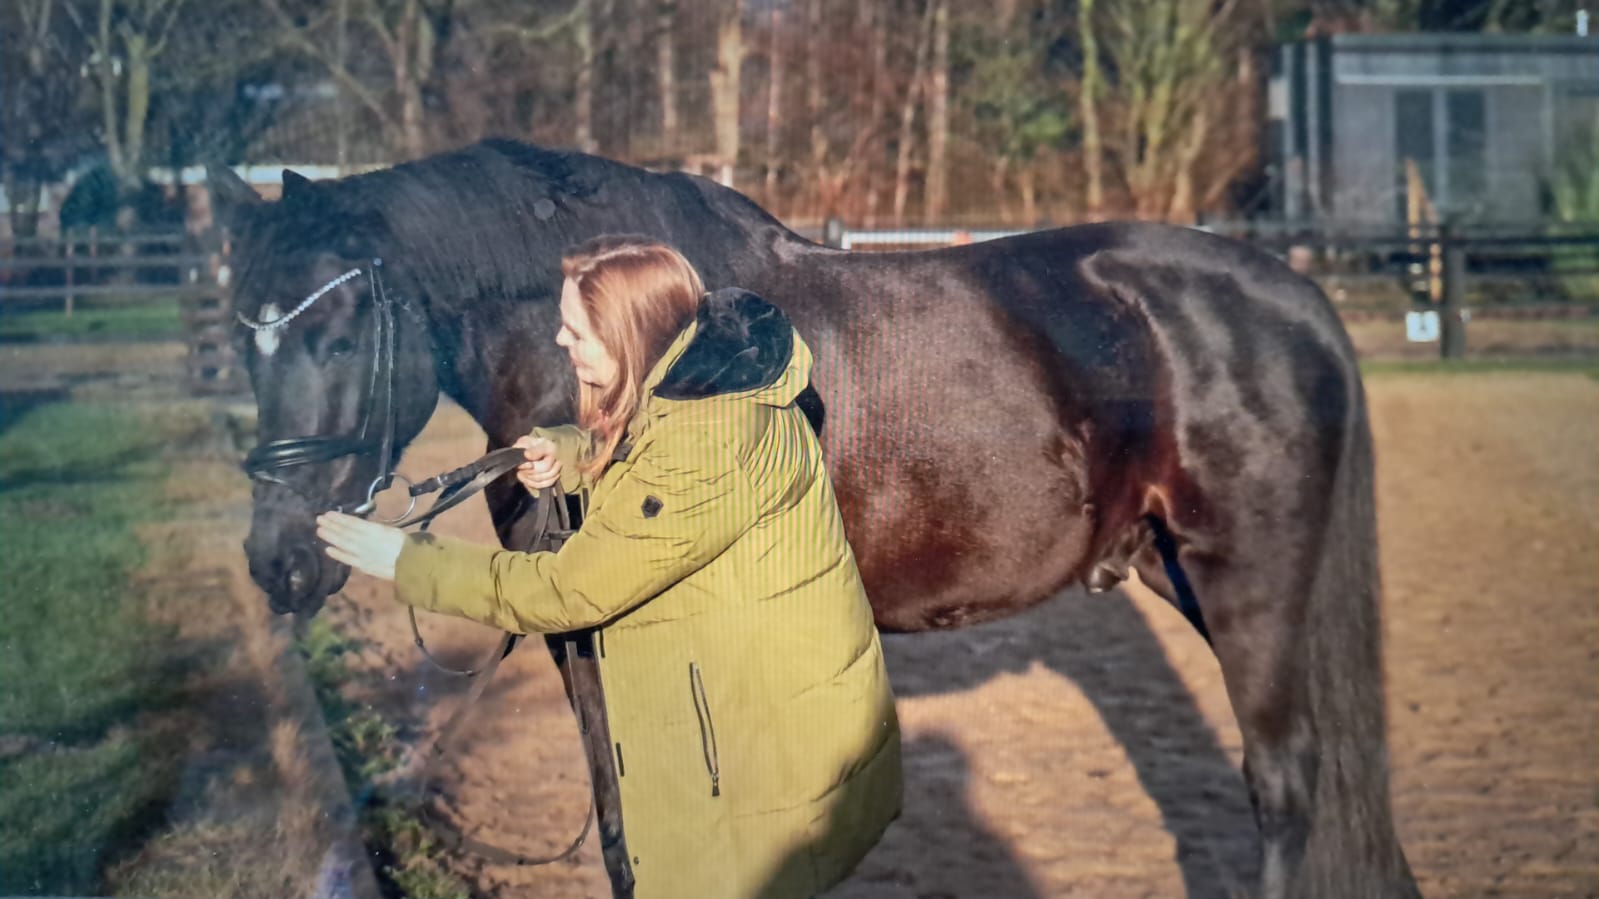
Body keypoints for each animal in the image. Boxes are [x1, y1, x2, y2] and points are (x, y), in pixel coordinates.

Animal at [211, 138, 1420, 899]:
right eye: (239, 338)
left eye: (336, 333)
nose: (276, 559)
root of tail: (1286, 294)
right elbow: (625, 822)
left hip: (1246, 581)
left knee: (1284, 784)